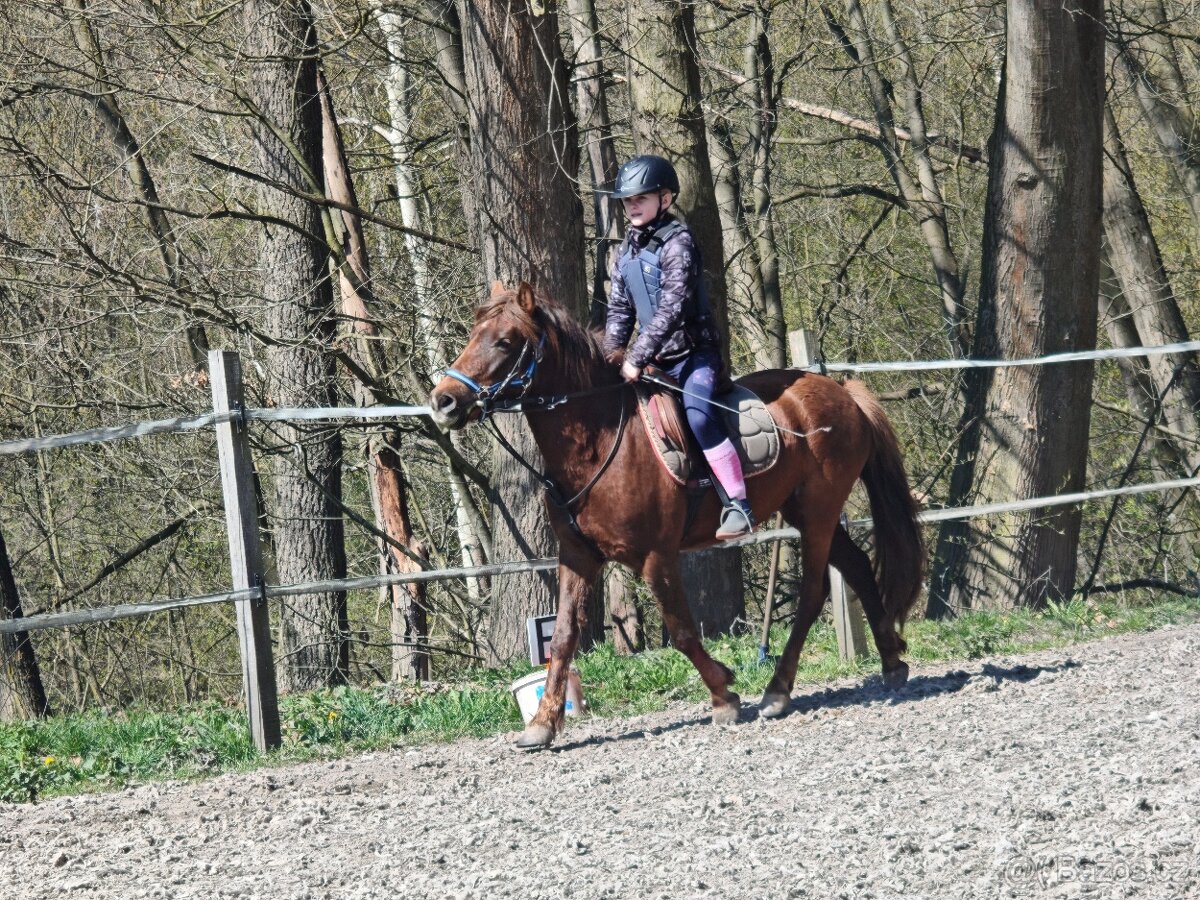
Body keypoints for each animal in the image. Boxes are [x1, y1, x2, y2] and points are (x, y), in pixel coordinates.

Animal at [430, 281, 926, 750]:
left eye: (505, 341)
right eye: (473, 334)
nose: (443, 402)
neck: (598, 441)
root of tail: (841, 390)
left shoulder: (655, 556)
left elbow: (682, 629)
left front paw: (724, 694)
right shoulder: (577, 555)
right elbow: (565, 636)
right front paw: (542, 724)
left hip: (819, 511)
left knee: (812, 593)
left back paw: (778, 690)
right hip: (808, 511)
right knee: (857, 568)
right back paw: (891, 661)